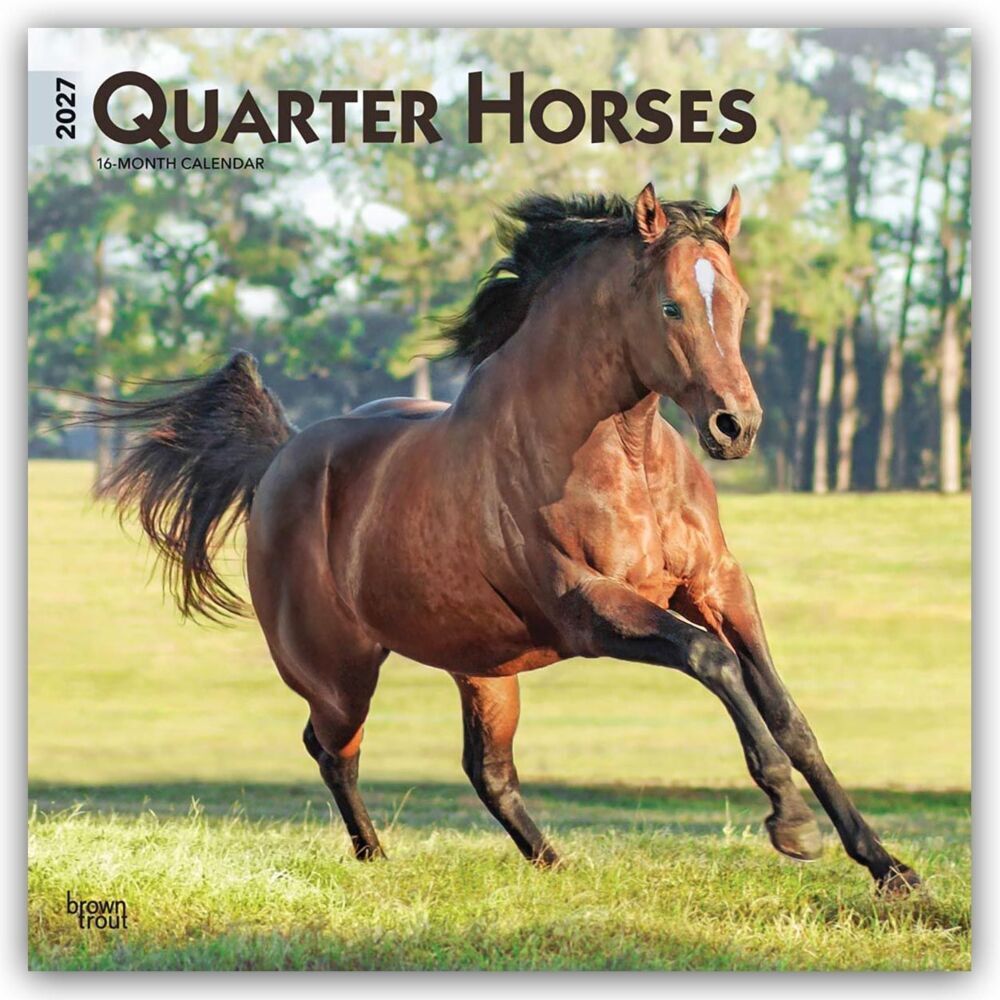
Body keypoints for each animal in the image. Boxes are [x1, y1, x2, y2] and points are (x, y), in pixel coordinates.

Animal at [76, 183, 920, 897]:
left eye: (738, 301)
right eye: (673, 306)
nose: (735, 426)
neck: (625, 457)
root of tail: (280, 459)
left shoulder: (715, 584)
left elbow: (786, 713)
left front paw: (889, 868)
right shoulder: (589, 608)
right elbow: (715, 664)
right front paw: (793, 824)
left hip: (484, 669)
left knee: (486, 769)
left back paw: (554, 863)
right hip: (340, 674)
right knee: (331, 749)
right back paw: (378, 859)